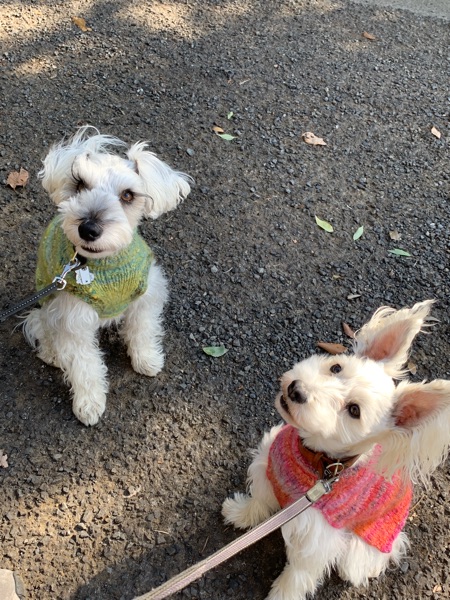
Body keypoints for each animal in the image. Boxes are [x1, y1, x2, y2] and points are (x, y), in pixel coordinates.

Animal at [23, 126, 191, 426]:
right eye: (80, 183)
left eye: (128, 195)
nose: (89, 228)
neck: (101, 263)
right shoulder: (72, 319)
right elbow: (85, 365)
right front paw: (89, 403)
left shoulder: (146, 294)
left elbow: (143, 330)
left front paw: (146, 358)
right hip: (47, 308)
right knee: (43, 330)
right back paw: (53, 354)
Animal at [223, 300, 450, 600]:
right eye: (336, 368)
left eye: (354, 410)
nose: (296, 390)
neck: (319, 463)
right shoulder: (266, 467)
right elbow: (258, 501)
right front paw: (239, 513)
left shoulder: (315, 539)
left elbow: (299, 574)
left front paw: (282, 594)